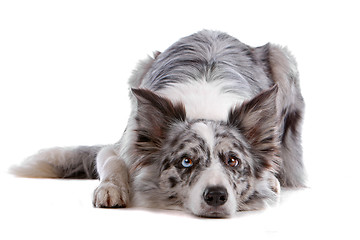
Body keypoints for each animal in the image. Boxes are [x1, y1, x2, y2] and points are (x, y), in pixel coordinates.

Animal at [10, 30, 304, 218]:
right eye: (186, 161)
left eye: (233, 161)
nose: (216, 196)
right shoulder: (125, 142)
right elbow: (111, 161)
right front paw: (111, 189)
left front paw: (269, 181)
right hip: (140, 68)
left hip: (283, 58)